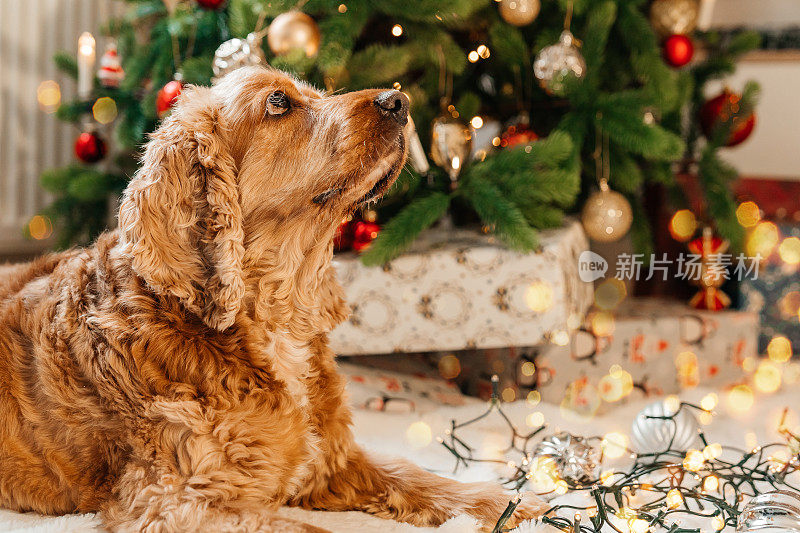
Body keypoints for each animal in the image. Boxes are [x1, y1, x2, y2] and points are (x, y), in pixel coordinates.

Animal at [0, 67, 548, 532]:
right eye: (279, 102)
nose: (400, 100)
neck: (271, 317)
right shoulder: (178, 503)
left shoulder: (332, 461)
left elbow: (416, 473)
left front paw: (517, 505)